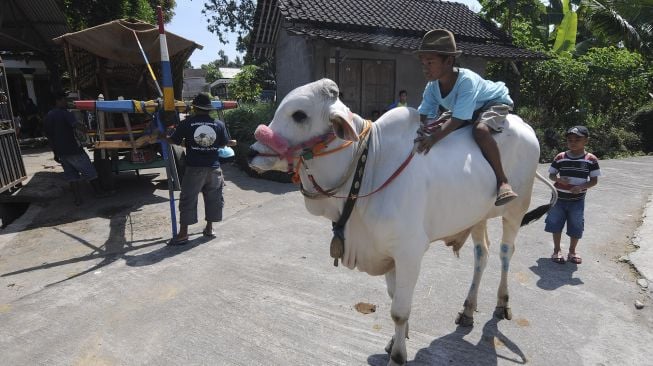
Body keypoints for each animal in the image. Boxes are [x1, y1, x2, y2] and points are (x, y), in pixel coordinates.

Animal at [247, 78, 552, 364]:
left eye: (299, 115)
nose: (252, 152)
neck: (368, 166)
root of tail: (524, 125)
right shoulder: (389, 254)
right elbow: (395, 300)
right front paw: (395, 342)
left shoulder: (409, 252)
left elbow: (399, 312)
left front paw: (398, 355)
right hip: (478, 216)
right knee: (482, 254)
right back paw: (467, 309)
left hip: (516, 210)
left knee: (505, 252)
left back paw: (502, 304)